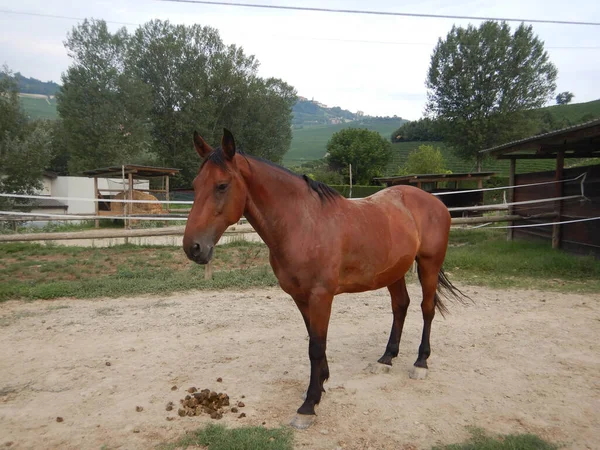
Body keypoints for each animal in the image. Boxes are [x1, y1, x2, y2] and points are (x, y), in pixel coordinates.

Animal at [183, 127, 468, 428]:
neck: (302, 224)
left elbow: (316, 347)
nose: (193, 247)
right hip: (394, 271)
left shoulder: (321, 296)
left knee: (427, 309)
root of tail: (435, 201)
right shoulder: (300, 297)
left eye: (222, 185)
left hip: (429, 265)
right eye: (195, 184)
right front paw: (320, 385)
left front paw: (308, 405)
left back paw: (420, 363)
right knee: (400, 306)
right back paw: (386, 358)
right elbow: (313, 339)